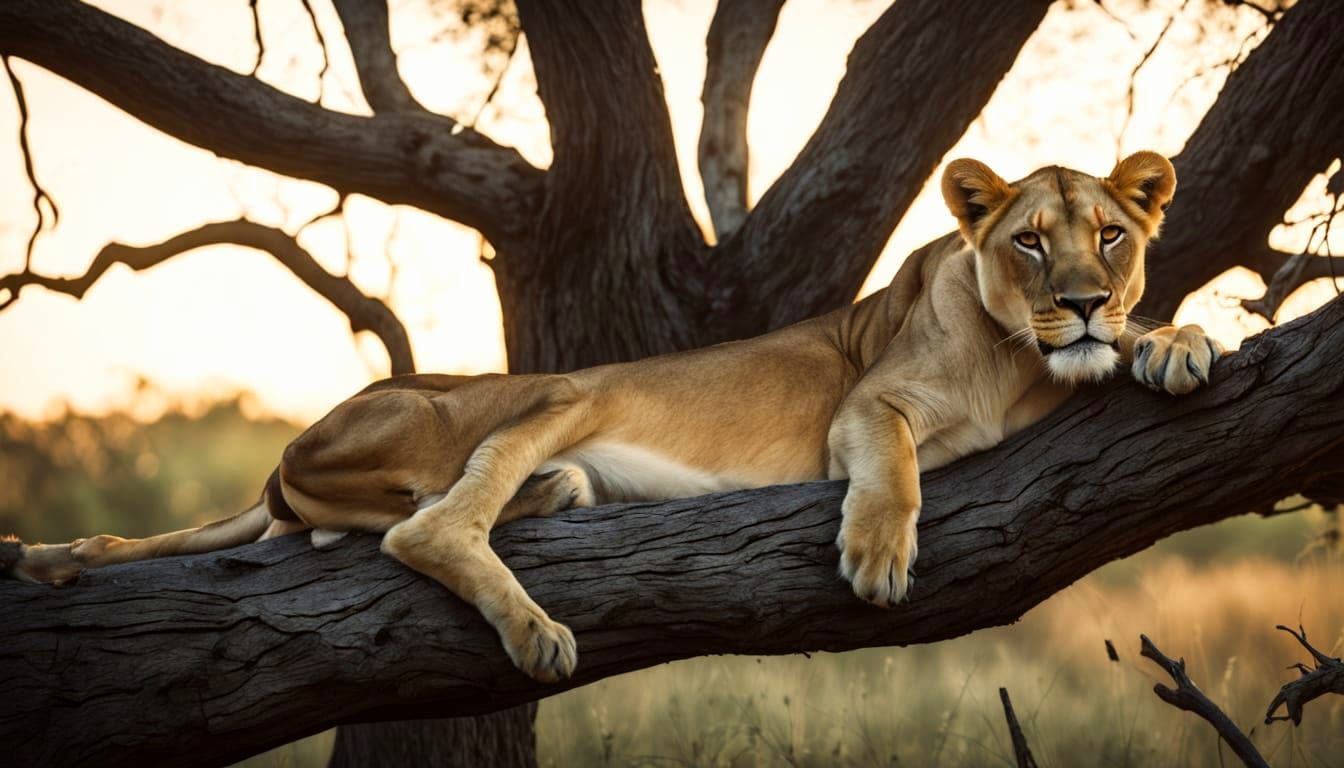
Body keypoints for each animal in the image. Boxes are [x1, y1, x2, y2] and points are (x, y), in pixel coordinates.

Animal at [2, 152, 1221, 683]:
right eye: (1030, 241)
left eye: (1111, 235)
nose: (1083, 301)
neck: (1019, 362)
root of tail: (290, 447)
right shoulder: (865, 405)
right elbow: (894, 461)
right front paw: (878, 553)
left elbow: (1132, 347)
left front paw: (1175, 341)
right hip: (553, 389)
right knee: (427, 524)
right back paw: (536, 625)